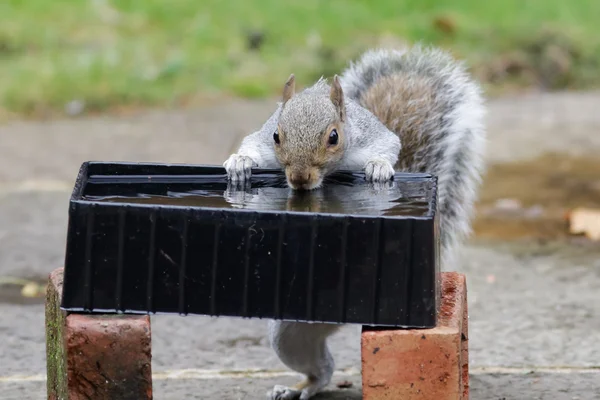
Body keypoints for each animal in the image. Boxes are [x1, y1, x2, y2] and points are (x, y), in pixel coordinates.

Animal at [223, 45, 486, 398]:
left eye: (334, 137)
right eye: (277, 135)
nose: (300, 179)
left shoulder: (370, 138)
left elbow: (388, 145)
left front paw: (379, 167)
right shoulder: (263, 140)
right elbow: (251, 145)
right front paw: (239, 162)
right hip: (290, 330)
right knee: (319, 367)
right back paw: (300, 387)